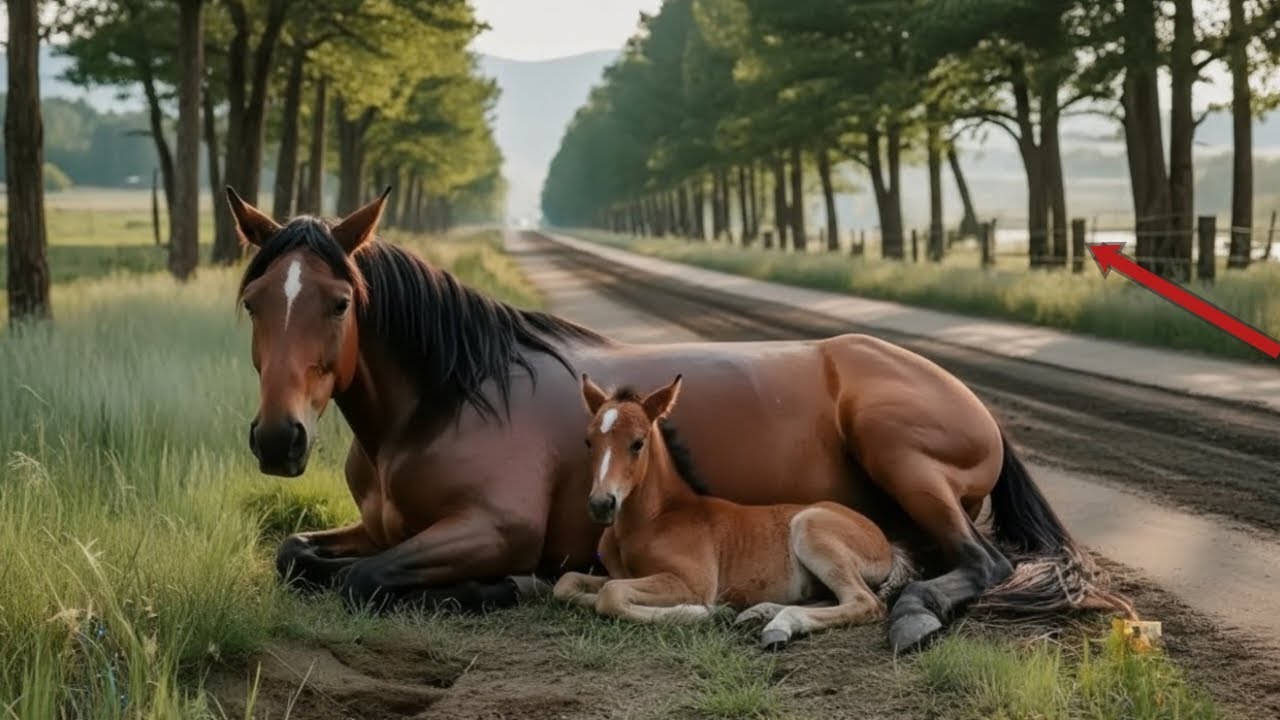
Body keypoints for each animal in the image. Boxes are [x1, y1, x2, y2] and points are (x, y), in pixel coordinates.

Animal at [553, 374, 918, 649]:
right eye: (588, 442)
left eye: (637, 443)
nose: (601, 504)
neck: (654, 520)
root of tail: (886, 542)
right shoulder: (618, 573)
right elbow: (567, 584)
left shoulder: (691, 583)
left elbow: (610, 595)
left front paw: (704, 613)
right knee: (835, 599)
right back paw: (760, 614)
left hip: (811, 528)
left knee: (863, 602)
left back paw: (777, 623)